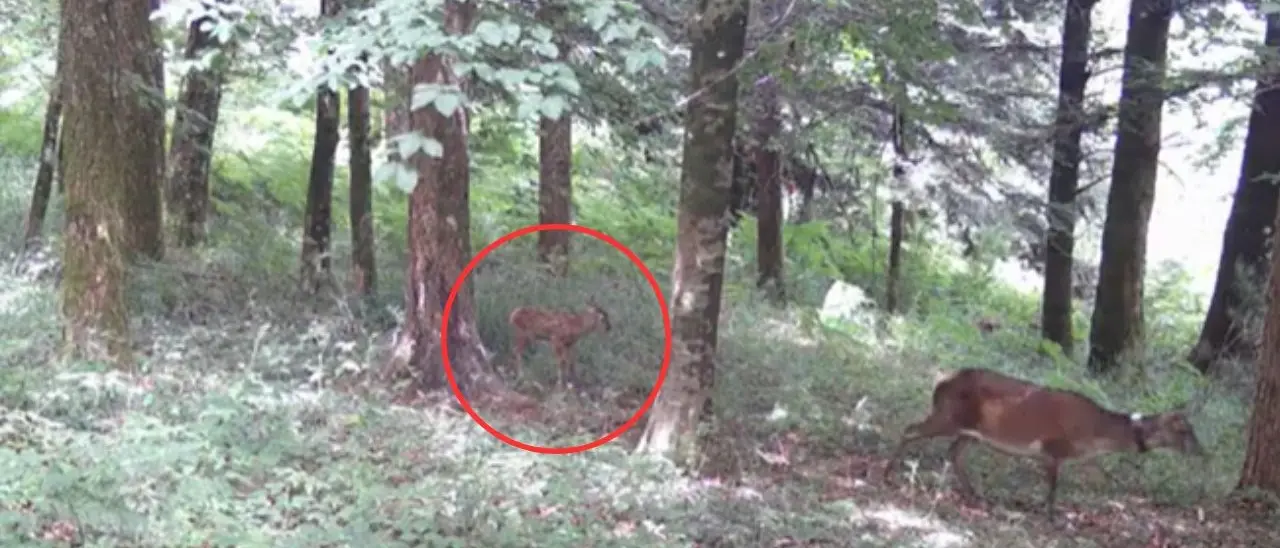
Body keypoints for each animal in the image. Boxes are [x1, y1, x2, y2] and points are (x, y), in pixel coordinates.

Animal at [883, 367, 1205, 521]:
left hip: (970, 431)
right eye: (1184, 430)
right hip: (948, 416)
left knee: (953, 453)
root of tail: (939, 384)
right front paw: (1051, 515)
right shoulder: (1054, 448)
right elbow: (1053, 485)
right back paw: (887, 475)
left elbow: (1088, 480)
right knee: (910, 429)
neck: (1093, 433)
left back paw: (976, 496)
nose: (1202, 452)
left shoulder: (1067, 456)